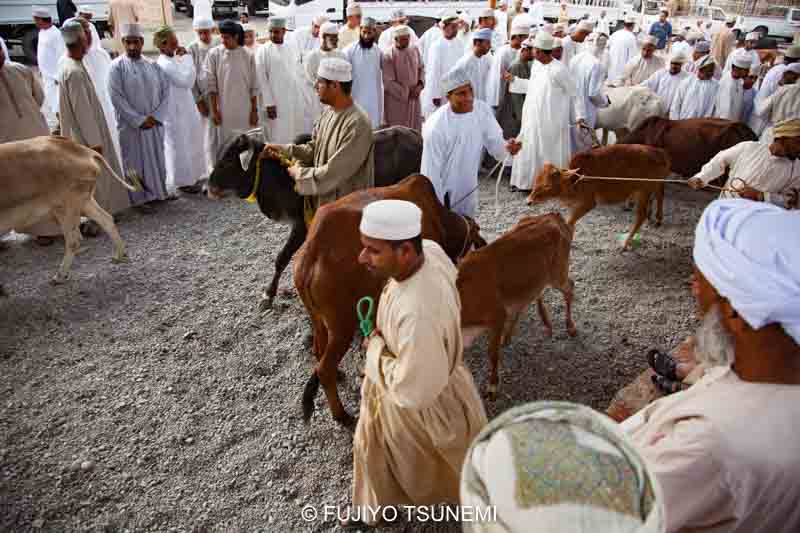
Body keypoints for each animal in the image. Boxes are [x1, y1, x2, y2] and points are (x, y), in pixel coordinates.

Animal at [296, 175, 488, 424]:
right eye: (476, 230)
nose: (484, 243)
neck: (437, 215)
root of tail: (312, 250)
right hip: (342, 326)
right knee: (324, 368)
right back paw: (342, 415)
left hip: (319, 320)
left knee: (318, 351)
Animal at [456, 212, 576, 400]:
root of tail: (553, 215)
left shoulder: (497, 315)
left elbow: (492, 353)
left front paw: (492, 387)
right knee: (526, 301)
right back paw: (510, 336)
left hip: (559, 273)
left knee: (570, 287)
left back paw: (570, 326)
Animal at [524, 142, 668, 248]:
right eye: (536, 180)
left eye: (547, 186)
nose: (528, 201)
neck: (576, 181)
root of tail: (661, 154)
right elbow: (571, 221)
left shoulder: (589, 202)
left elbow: (569, 221)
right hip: (651, 187)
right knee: (660, 194)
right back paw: (657, 218)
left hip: (644, 190)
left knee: (641, 215)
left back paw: (626, 243)